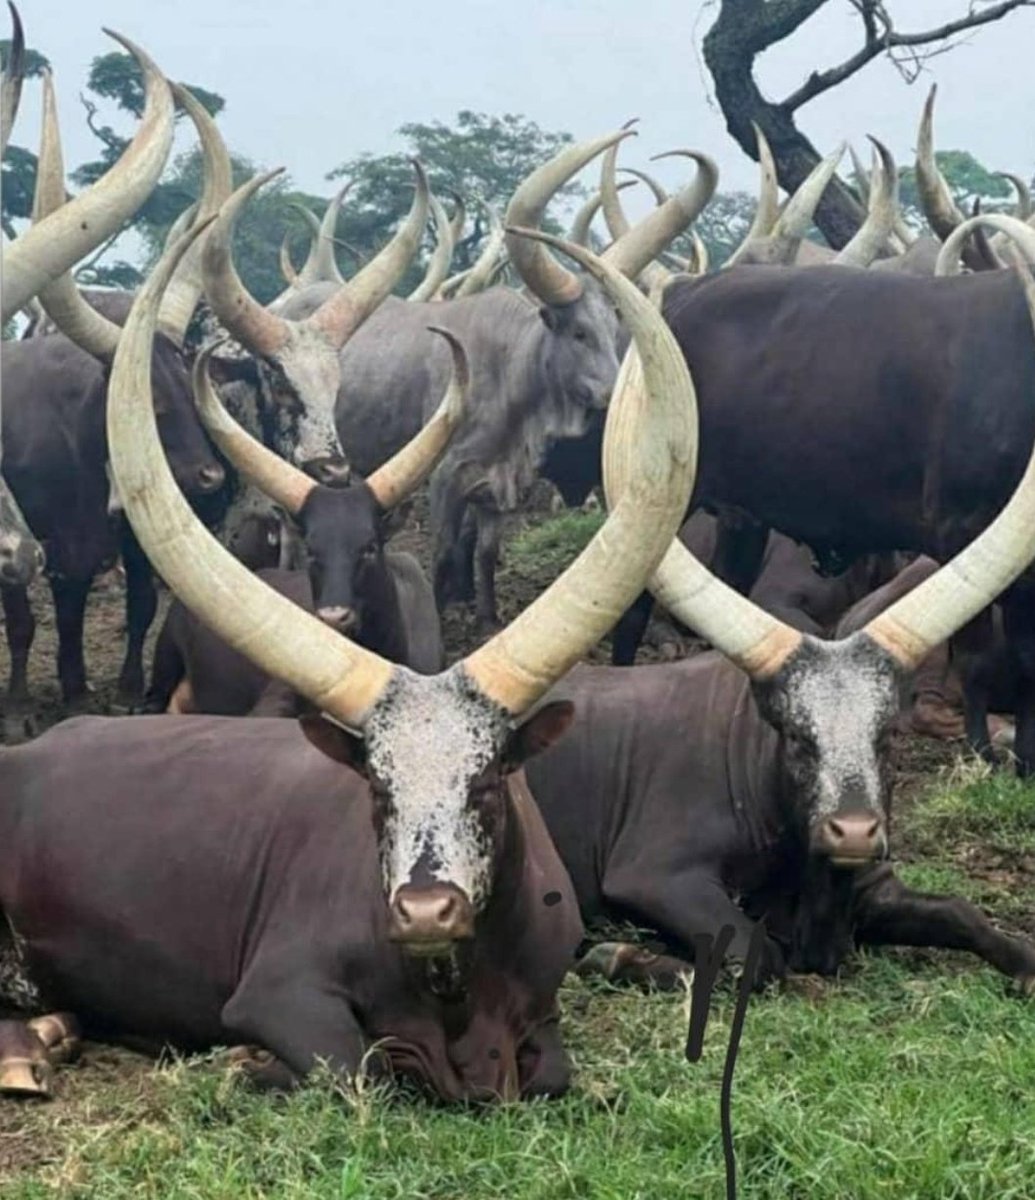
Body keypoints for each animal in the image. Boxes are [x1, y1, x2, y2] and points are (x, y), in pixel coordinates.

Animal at [0, 223, 696, 1099]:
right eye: (375, 787)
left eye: (489, 781)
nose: (425, 911)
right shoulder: (281, 993)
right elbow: (355, 1070)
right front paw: (248, 1062)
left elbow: (549, 1073)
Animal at [333, 131, 717, 629]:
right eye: (578, 332)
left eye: (615, 330)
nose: (611, 395)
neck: (510, 378)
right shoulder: (444, 478)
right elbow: (444, 555)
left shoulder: (498, 489)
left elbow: (486, 553)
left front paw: (487, 619)